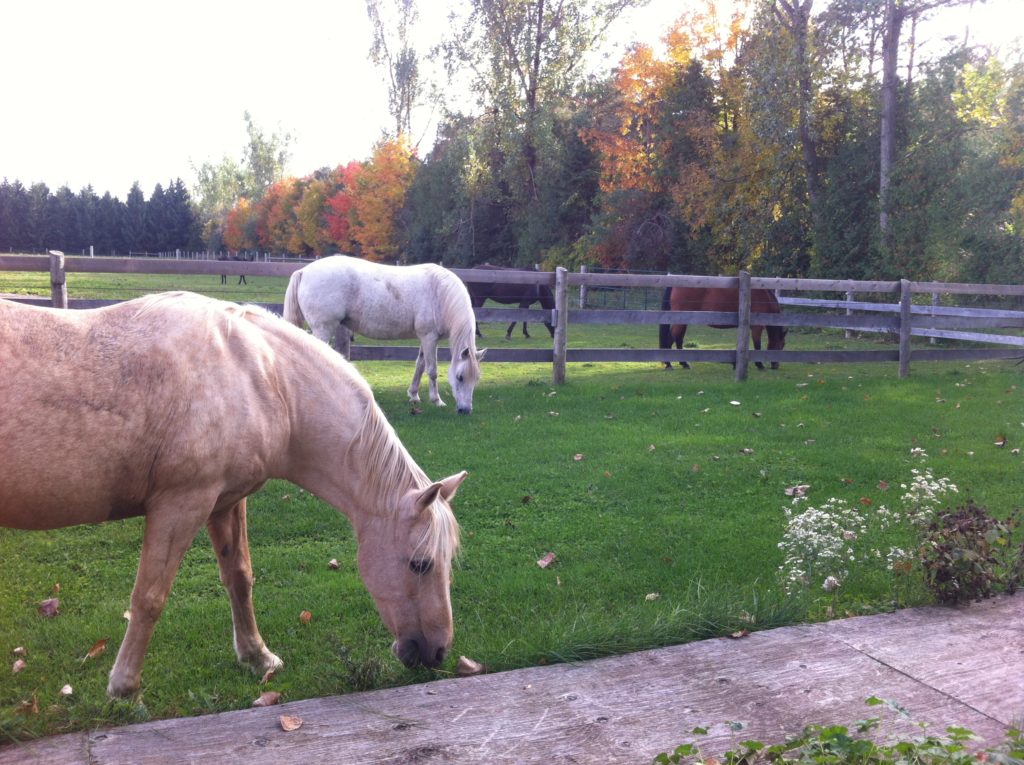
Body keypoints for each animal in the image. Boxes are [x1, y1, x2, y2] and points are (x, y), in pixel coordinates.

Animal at [0, 292, 465, 698]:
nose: (437, 652)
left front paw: (258, 657)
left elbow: (239, 578)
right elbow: (149, 597)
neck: (260, 375)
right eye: (420, 563)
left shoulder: (225, 501)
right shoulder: (181, 504)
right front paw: (124, 686)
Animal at [283, 255, 485, 415]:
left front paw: (413, 395)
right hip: (323, 329)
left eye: (476, 379)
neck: (439, 292)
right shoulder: (429, 337)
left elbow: (420, 365)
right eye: (460, 377)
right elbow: (432, 370)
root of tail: (303, 271)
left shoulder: (424, 338)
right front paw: (437, 401)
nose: (465, 410)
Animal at [658, 286, 787, 370]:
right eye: (781, 345)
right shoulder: (756, 328)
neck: (765, 298)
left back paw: (684, 363)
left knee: (678, 339)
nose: (775, 365)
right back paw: (668, 364)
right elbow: (757, 346)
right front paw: (759, 364)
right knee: (671, 339)